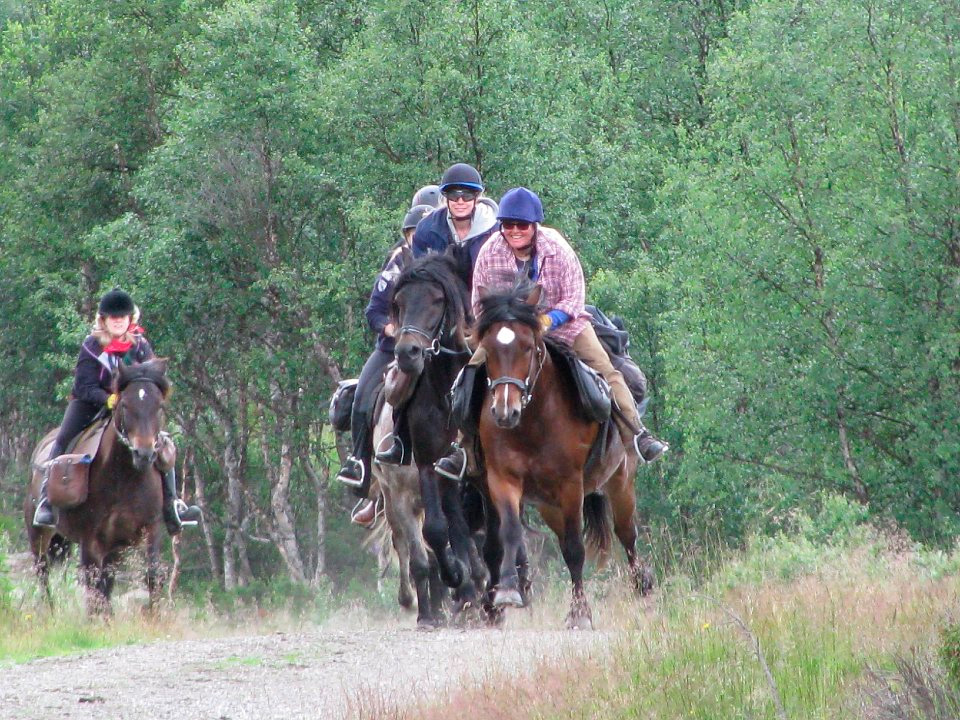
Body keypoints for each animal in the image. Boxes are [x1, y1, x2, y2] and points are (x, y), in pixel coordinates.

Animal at [24, 360, 174, 612]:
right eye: (124, 404)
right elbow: (94, 588)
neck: (124, 480)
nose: (144, 454)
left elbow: (151, 576)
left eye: (160, 405)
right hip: (39, 537)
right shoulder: (90, 541)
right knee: (43, 573)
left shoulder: (149, 530)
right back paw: (50, 612)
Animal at [392, 249, 492, 620]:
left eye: (437, 300)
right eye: (399, 301)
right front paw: (457, 576)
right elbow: (436, 529)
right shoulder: (426, 462)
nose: (407, 353)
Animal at [478, 284, 656, 628]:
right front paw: (507, 591)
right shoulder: (503, 479)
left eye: (528, 347)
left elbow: (575, 549)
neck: (532, 421)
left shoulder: (570, 485)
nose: (505, 411)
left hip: (619, 481)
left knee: (627, 534)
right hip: (548, 505)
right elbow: (511, 531)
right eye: (488, 348)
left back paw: (644, 588)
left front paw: (580, 614)